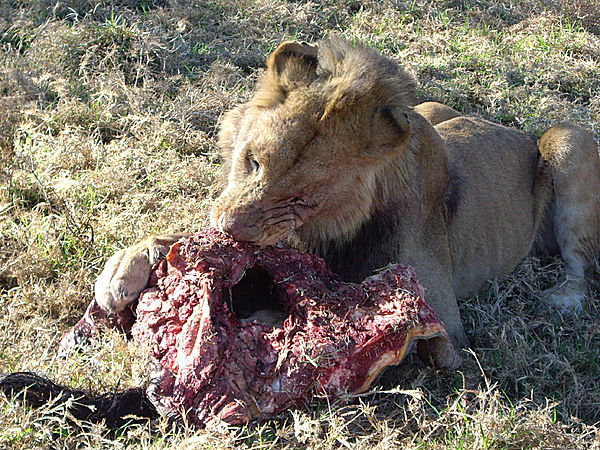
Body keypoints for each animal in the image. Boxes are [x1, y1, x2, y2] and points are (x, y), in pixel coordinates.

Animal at [94, 37, 600, 370]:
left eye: (303, 198)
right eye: (253, 161)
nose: (231, 228)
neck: (326, 227)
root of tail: (516, 132)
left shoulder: (447, 330)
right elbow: (179, 235)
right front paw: (122, 270)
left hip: (568, 139)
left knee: (581, 264)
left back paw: (563, 298)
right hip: (434, 110)